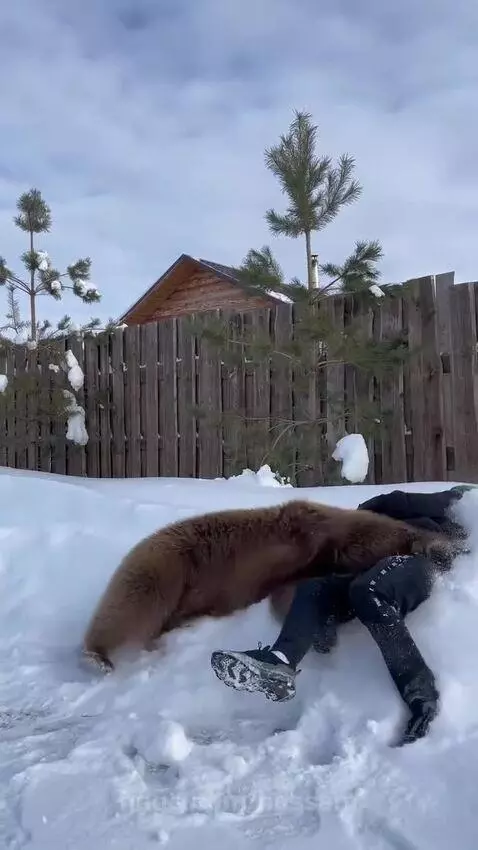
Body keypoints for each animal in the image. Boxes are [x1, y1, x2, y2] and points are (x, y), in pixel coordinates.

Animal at [82, 498, 452, 672]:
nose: (445, 553)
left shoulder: (302, 564)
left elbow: (292, 591)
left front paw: (324, 634)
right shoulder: (310, 533)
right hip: (167, 562)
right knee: (134, 604)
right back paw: (98, 655)